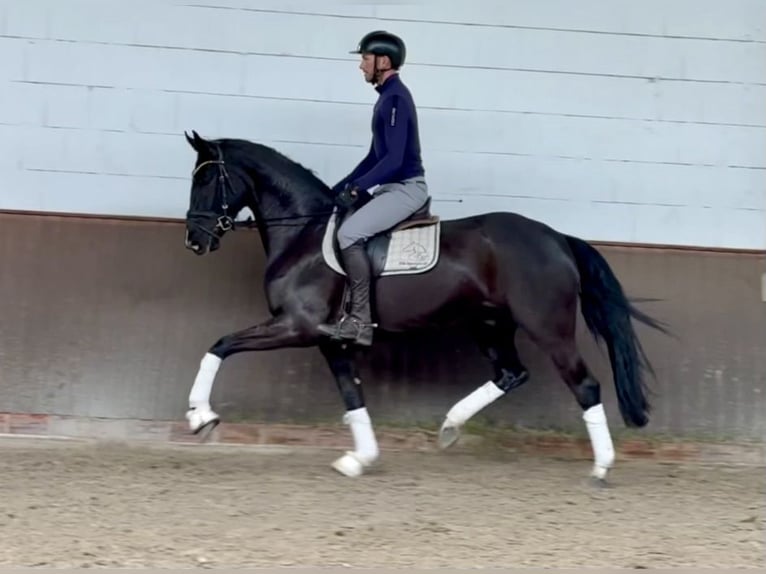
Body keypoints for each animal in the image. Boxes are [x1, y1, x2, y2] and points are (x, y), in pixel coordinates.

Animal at [181, 130, 667, 483]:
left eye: (204, 179)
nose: (195, 241)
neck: (304, 232)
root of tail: (557, 238)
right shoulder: (328, 340)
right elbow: (352, 394)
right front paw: (361, 459)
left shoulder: (296, 326)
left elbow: (219, 345)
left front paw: (201, 416)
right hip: (490, 324)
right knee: (511, 373)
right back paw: (450, 426)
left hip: (549, 328)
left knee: (584, 384)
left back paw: (601, 467)